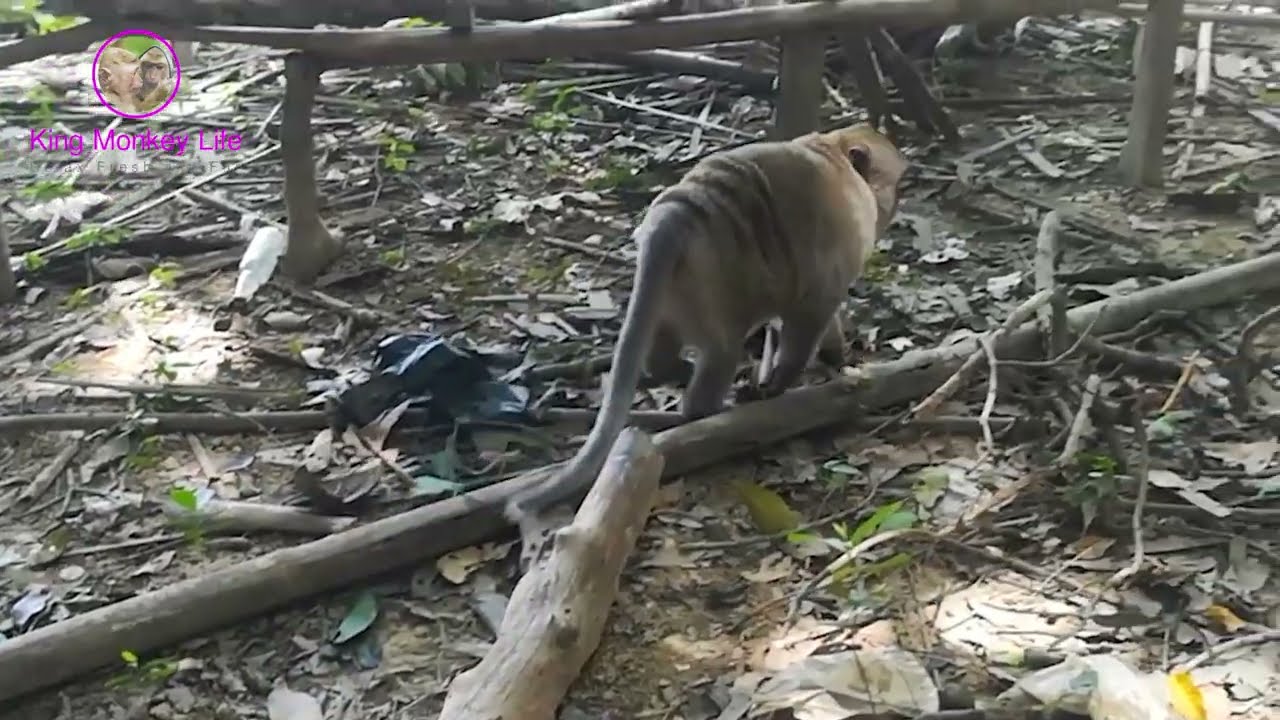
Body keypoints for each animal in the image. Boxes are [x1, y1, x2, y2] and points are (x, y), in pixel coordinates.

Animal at [505, 124, 909, 529]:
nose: (895, 203)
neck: (835, 153)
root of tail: (676, 214)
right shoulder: (824, 280)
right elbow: (807, 331)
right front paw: (789, 378)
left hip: (669, 297)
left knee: (660, 354)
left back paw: (676, 370)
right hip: (710, 296)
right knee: (718, 359)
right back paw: (711, 406)